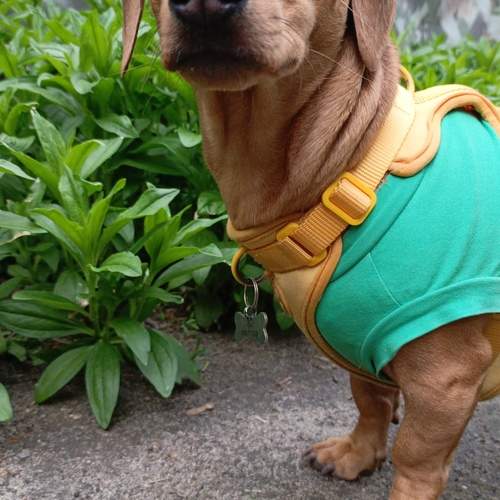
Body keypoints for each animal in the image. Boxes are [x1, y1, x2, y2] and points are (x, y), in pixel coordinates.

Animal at [121, 1, 500, 498]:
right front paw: (358, 454)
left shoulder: (446, 381)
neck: (355, 172)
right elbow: (370, 399)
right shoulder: (364, 345)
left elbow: (415, 462)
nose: (204, 5)